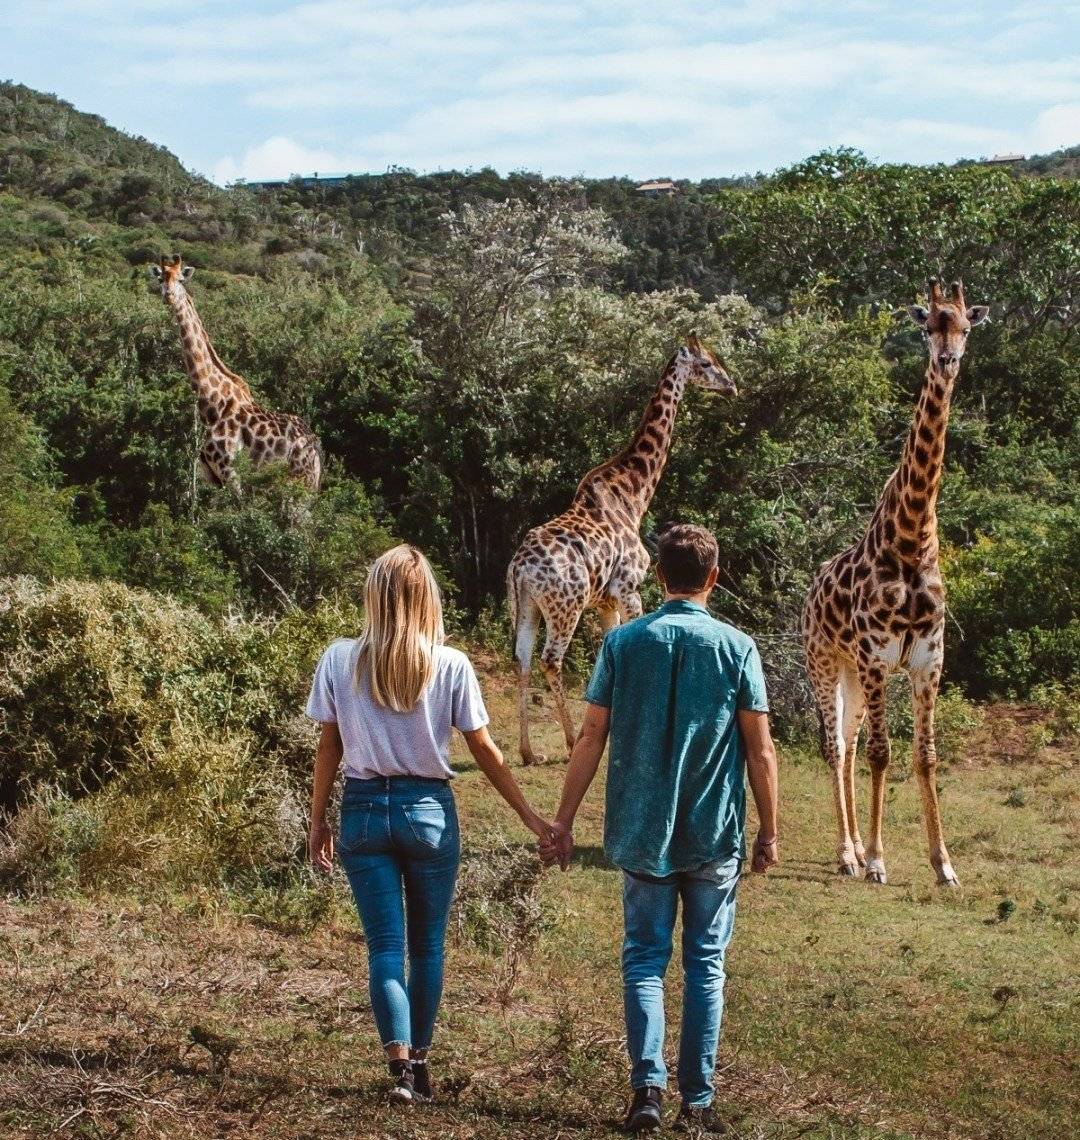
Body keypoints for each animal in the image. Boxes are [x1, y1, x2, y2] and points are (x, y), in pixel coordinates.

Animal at [149, 256, 323, 492]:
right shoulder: (211, 476)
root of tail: (316, 449)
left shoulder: (231, 471)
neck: (211, 405)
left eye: (181, 279)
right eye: (160, 279)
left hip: (302, 479)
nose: (168, 296)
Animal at [510, 335, 739, 766]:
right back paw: (570, 742)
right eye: (706, 363)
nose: (731, 386)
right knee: (551, 659)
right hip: (566, 605)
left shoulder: (604, 600)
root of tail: (521, 569)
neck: (634, 494)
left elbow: (607, 654)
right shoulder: (628, 589)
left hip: (526, 604)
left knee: (523, 659)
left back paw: (529, 752)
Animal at [802, 280, 989, 884]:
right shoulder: (878, 656)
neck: (910, 541)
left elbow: (924, 756)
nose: (948, 360)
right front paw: (881, 861)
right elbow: (884, 753)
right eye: (928, 323)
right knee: (836, 746)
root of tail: (810, 591)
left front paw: (943, 865)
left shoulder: (928, 659)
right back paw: (848, 854)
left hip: (857, 676)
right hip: (826, 662)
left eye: (966, 327)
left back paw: (857, 849)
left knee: (850, 743)